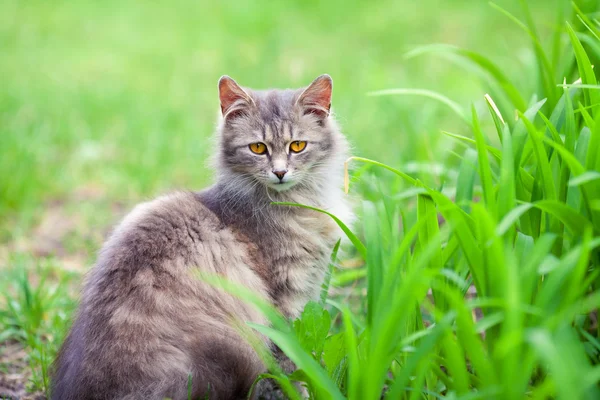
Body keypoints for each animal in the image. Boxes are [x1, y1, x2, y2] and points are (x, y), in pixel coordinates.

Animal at [51, 73, 354, 398]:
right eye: (258, 148)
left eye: (297, 145)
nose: (280, 173)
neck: (294, 202)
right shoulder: (287, 295)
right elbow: (290, 363)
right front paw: (301, 392)